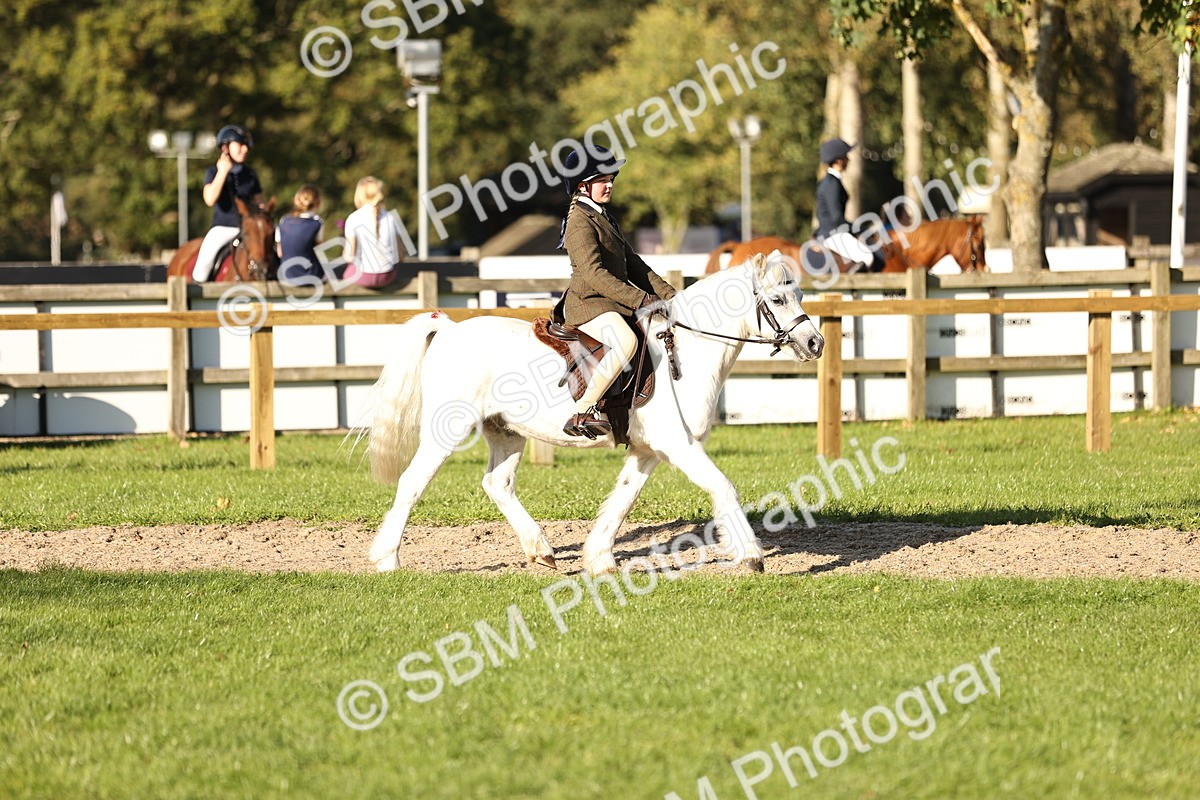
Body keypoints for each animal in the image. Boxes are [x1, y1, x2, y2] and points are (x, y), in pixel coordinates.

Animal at [362, 252, 825, 576]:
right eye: (778, 299)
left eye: (799, 296)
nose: (815, 343)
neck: (685, 349)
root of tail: (450, 328)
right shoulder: (680, 445)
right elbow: (724, 487)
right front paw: (751, 556)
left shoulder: (648, 451)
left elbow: (623, 499)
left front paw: (599, 559)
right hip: (447, 431)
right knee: (413, 482)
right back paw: (387, 559)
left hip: (506, 432)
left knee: (497, 483)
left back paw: (541, 551)